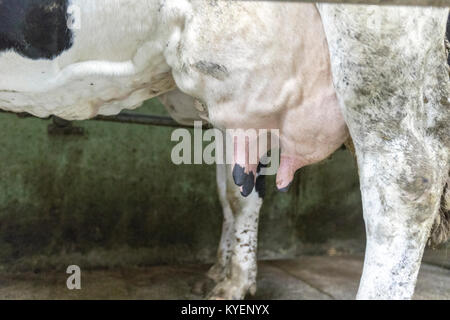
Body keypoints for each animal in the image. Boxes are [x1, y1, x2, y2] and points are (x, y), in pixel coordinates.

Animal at [0, 0, 448, 300]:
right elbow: (233, 191)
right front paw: (227, 275)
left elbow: (242, 196)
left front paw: (234, 282)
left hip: (375, 46)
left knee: (406, 183)